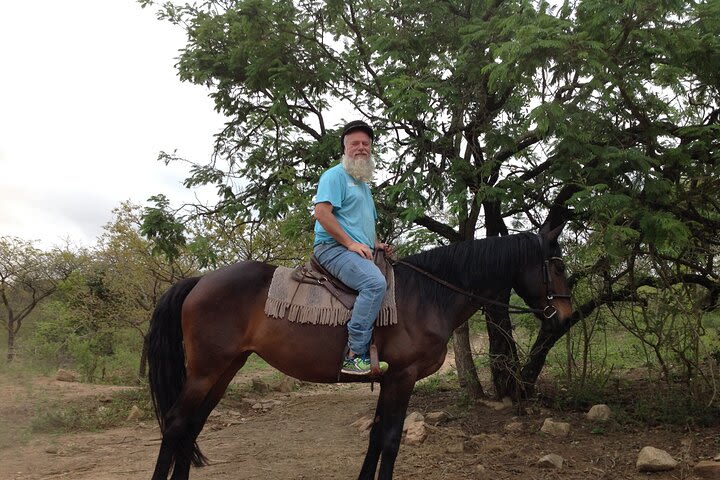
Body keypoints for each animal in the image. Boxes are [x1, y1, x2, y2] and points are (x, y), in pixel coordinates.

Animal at [148, 226, 572, 480]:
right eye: (558, 267)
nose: (566, 316)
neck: (426, 296)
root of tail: (200, 280)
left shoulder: (389, 379)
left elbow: (376, 436)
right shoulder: (403, 376)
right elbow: (391, 439)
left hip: (224, 370)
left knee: (192, 426)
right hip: (205, 371)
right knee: (176, 424)